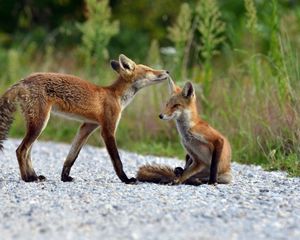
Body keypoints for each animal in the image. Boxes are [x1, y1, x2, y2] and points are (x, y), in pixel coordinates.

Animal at [0, 53, 169, 183]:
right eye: (149, 69)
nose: (167, 70)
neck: (115, 96)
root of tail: (23, 81)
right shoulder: (107, 130)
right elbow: (117, 160)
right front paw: (126, 179)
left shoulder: (87, 126)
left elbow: (71, 156)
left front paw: (65, 177)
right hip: (39, 123)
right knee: (21, 150)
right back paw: (27, 178)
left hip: (37, 125)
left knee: (27, 152)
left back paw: (34, 175)